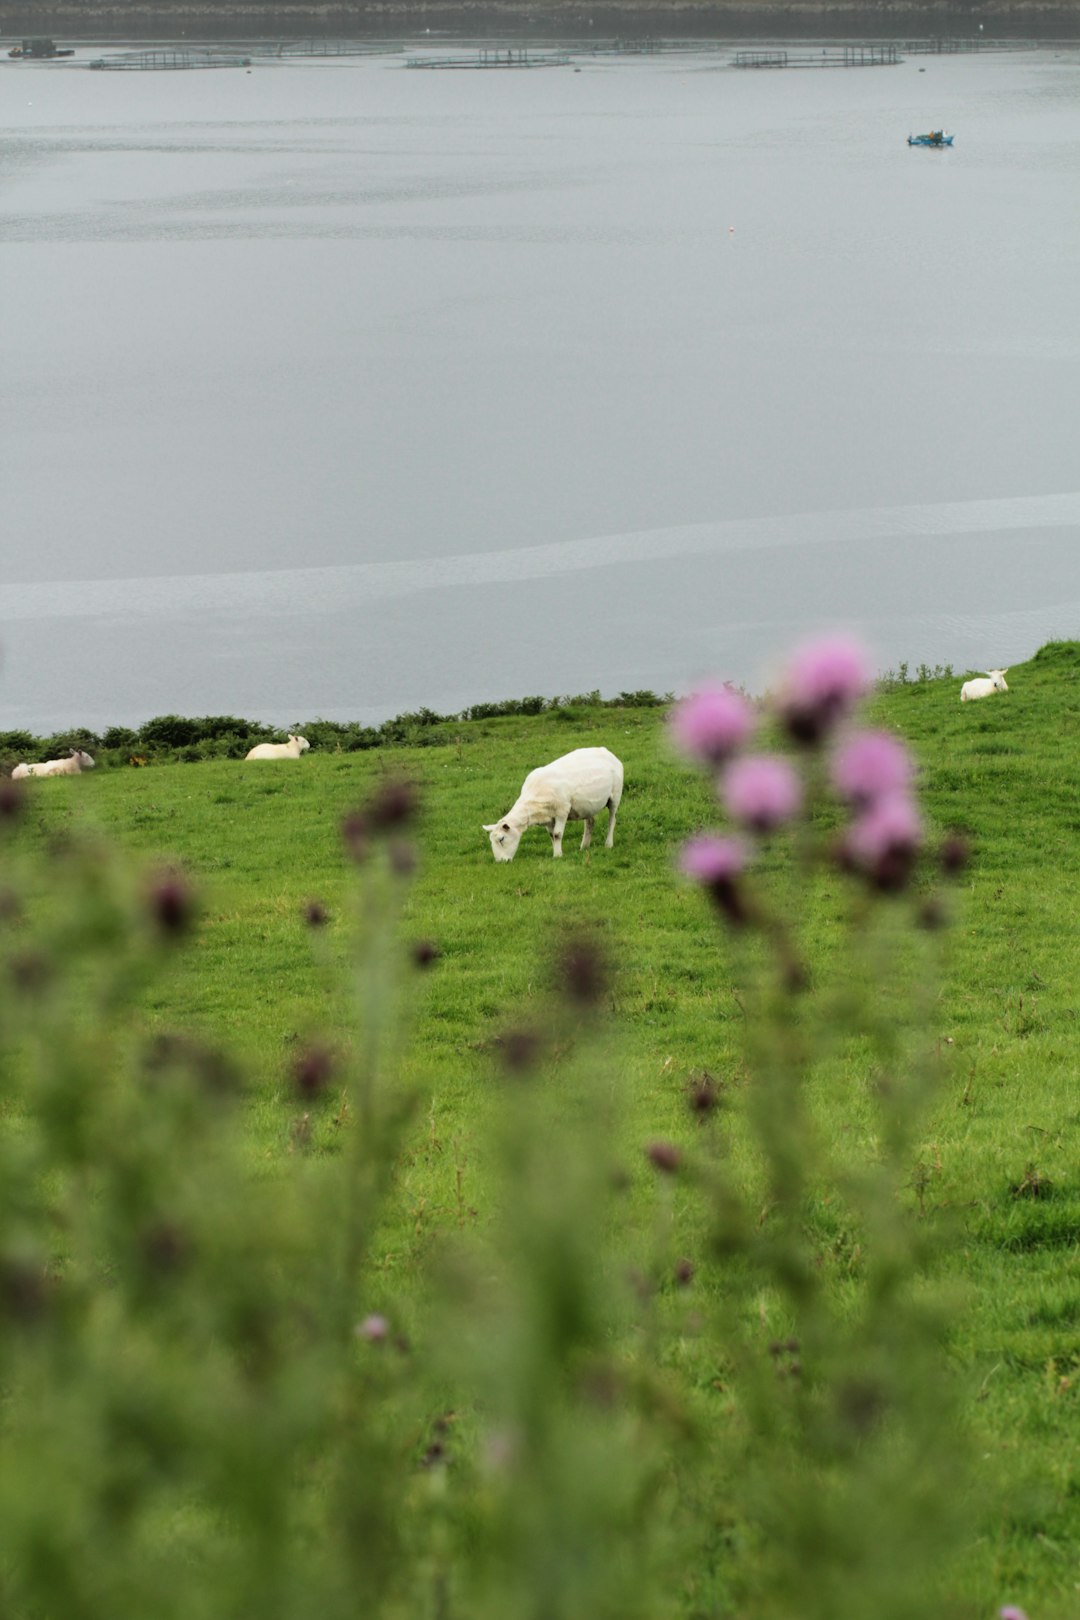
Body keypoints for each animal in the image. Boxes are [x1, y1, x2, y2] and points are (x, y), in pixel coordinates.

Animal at [482, 748, 625, 868]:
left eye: (501, 839)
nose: (501, 862)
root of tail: (606, 751)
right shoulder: (548, 818)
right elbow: (551, 835)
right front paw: (556, 852)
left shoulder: (562, 811)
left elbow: (557, 834)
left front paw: (557, 856)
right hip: (588, 805)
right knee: (590, 822)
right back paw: (584, 847)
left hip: (615, 795)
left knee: (612, 820)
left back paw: (608, 844)